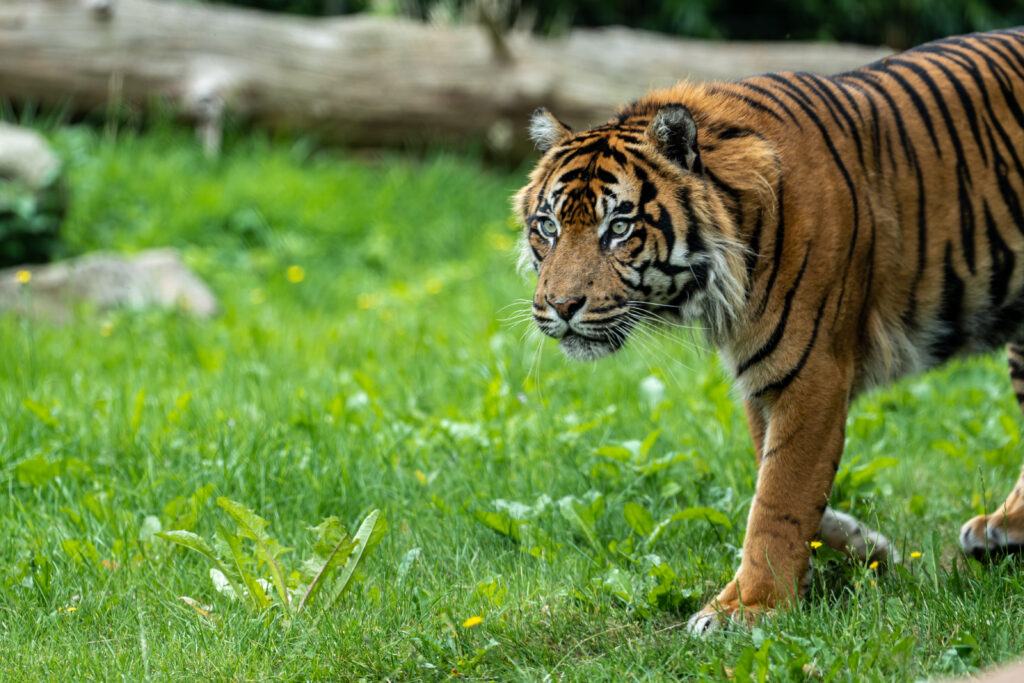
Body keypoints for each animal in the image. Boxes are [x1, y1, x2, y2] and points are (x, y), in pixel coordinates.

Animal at [513, 27, 1024, 632]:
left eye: (618, 228)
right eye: (548, 225)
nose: (560, 305)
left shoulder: (811, 374)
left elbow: (779, 498)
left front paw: (747, 609)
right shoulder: (765, 379)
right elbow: (778, 479)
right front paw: (865, 547)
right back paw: (1002, 532)